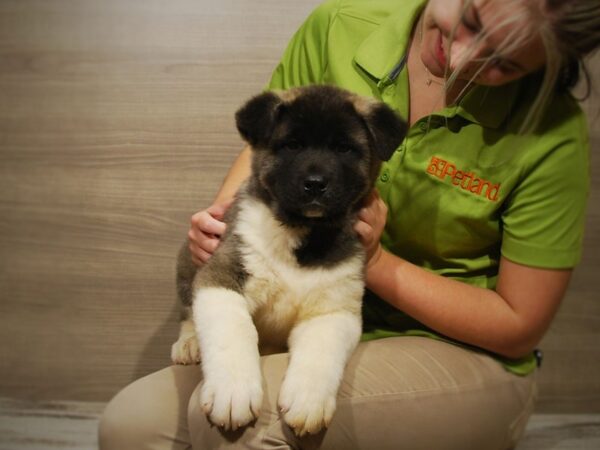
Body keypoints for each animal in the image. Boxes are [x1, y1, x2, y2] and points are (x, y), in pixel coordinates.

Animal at [173, 84, 408, 436]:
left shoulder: (334, 309)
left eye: (344, 149)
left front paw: (308, 401)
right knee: (189, 310)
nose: (315, 184)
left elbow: (321, 351)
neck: (302, 232)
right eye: (292, 145)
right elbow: (233, 330)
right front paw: (234, 391)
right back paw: (189, 343)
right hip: (189, 261)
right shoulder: (223, 275)